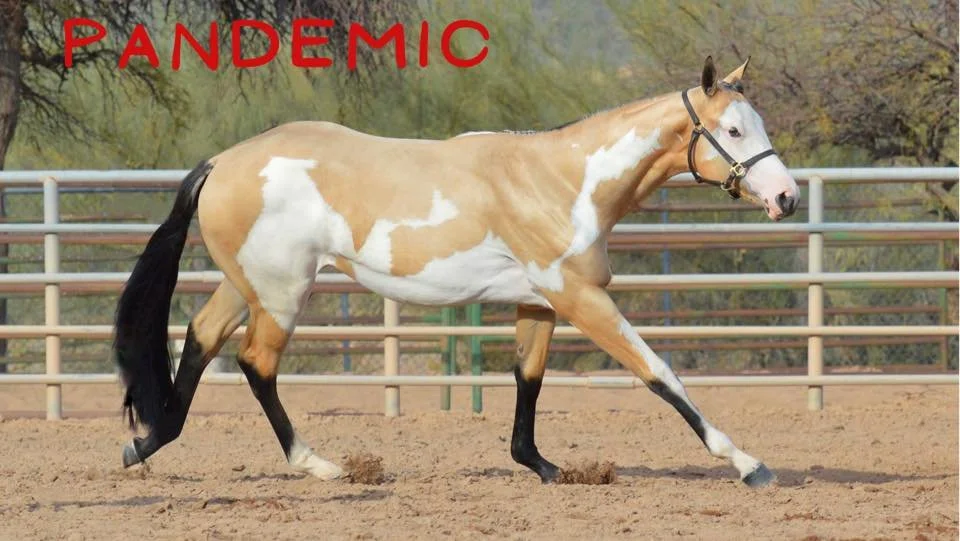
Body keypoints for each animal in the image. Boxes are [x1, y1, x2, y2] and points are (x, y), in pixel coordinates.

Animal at [113, 56, 800, 488]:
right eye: (733, 129)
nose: (787, 197)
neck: (562, 182)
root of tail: (222, 162)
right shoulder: (579, 298)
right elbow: (659, 373)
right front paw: (749, 465)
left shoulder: (540, 303)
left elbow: (528, 379)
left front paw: (544, 467)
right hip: (282, 293)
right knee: (257, 363)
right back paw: (319, 465)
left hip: (247, 285)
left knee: (202, 337)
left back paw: (146, 442)